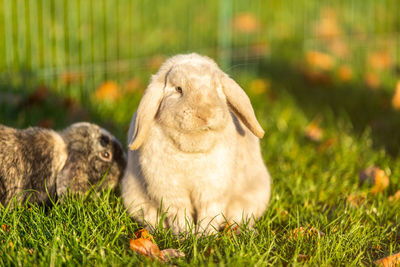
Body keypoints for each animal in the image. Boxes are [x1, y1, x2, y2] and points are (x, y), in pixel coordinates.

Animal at [122, 52, 272, 234]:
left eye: (217, 88)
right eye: (178, 89)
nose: (205, 114)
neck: (192, 150)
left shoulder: (212, 188)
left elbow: (209, 213)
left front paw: (205, 235)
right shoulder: (171, 190)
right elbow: (179, 213)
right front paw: (184, 234)